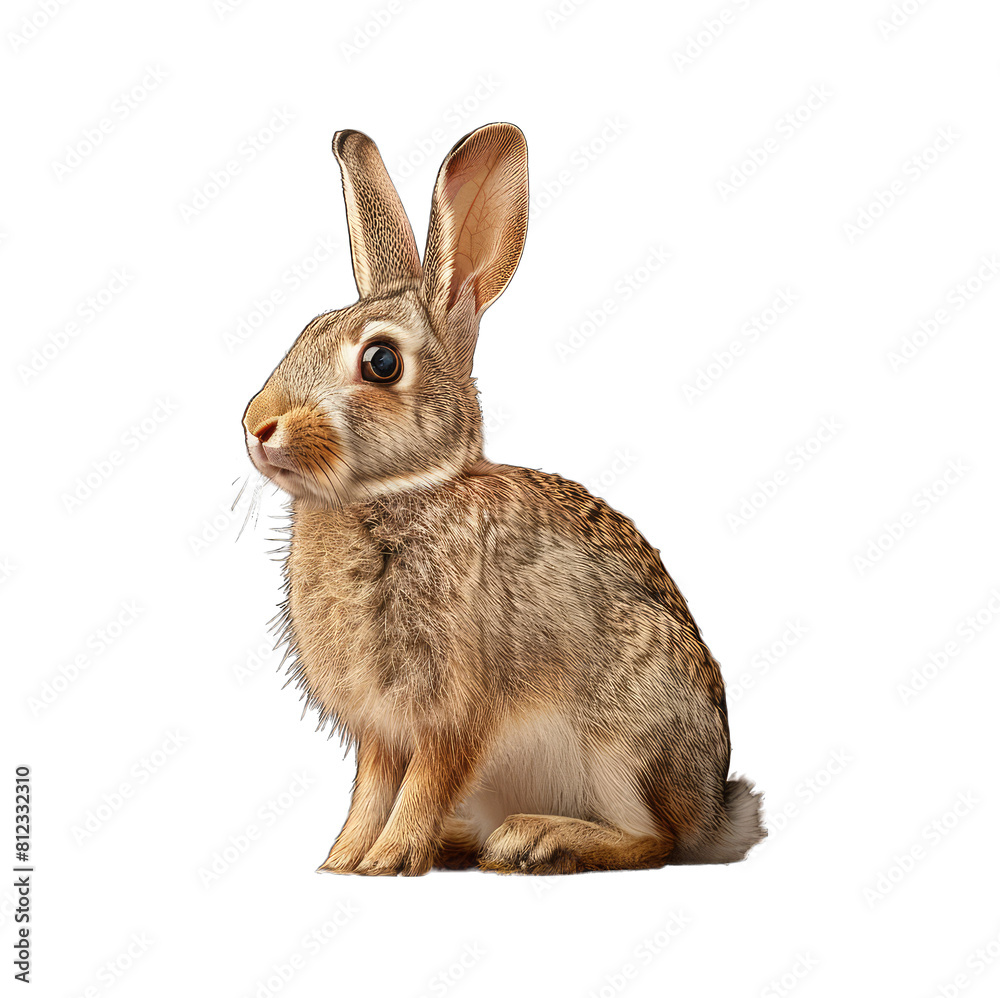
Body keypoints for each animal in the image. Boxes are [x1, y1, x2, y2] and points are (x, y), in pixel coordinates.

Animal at [242, 122, 766, 876]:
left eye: (380, 362)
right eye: (307, 330)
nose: (256, 426)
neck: (402, 492)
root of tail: (713, 810)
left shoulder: (455, 711)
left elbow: (424, 784)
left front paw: (388, 859)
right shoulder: (380, 728)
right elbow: (370, 791)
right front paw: (341, 861)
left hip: (621, 741)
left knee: (653, 841)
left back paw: (535, 840)